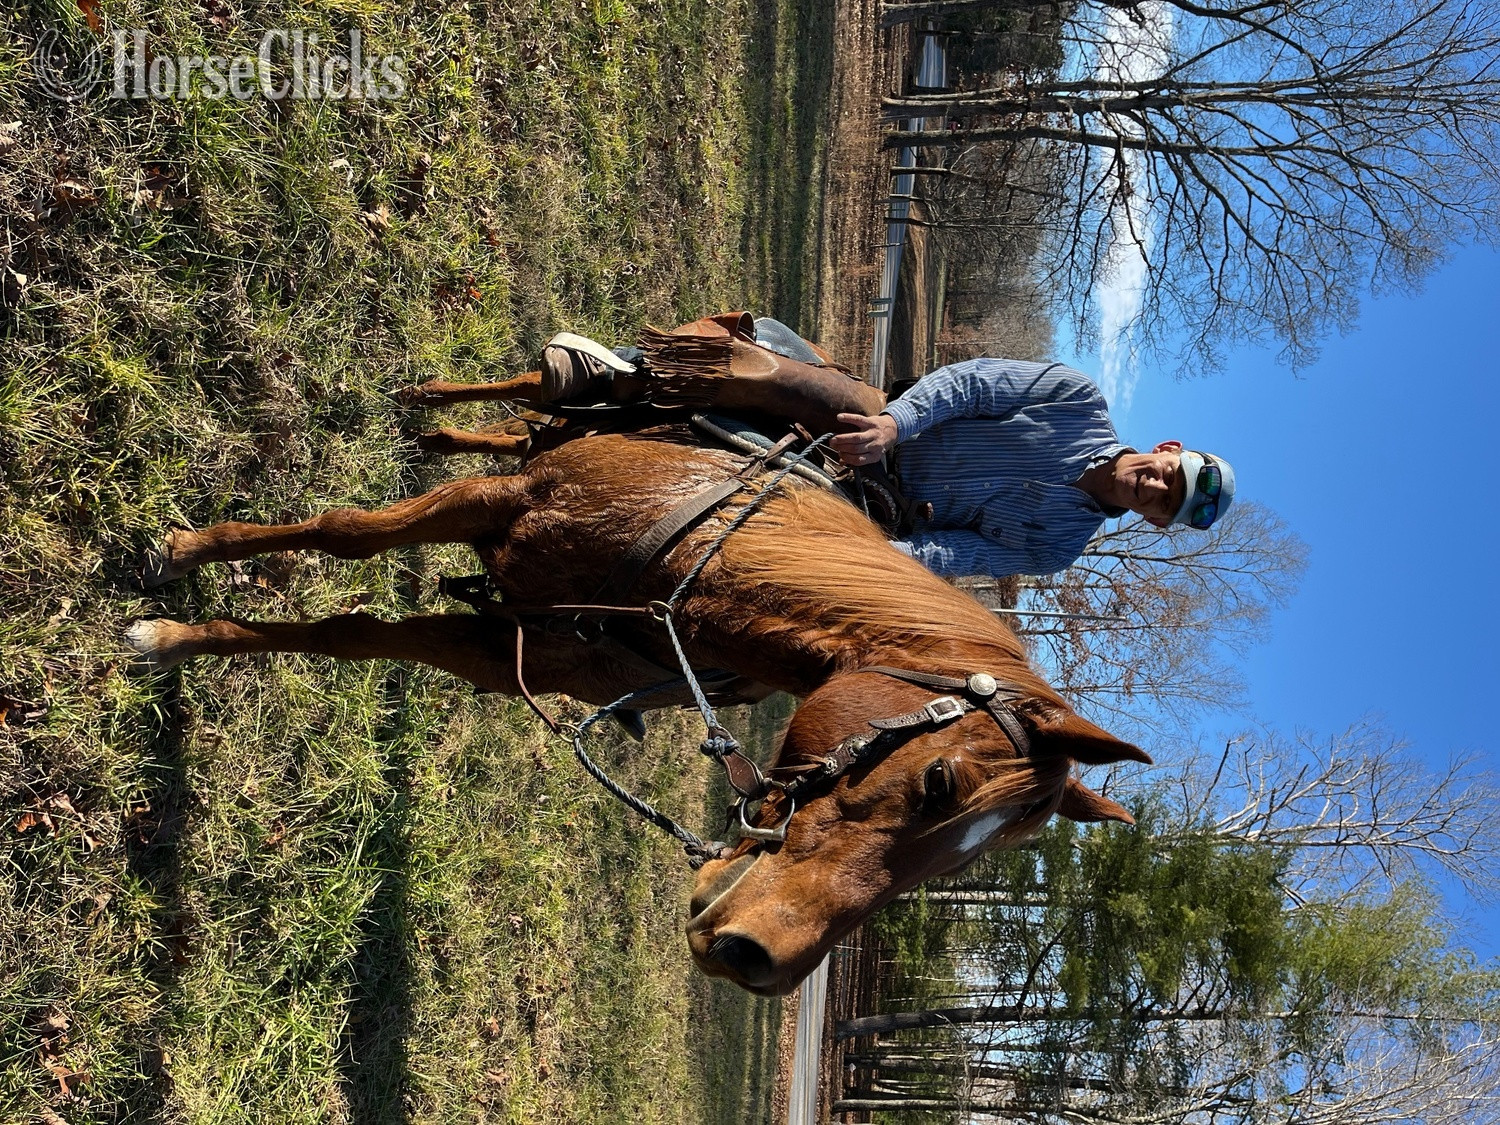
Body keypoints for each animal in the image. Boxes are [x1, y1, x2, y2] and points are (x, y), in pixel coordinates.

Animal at [126, 394, 1150, 997]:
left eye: (959, 868)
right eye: (938, 782)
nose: (761, 960)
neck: (704, 575)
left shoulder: (509, 650)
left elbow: (352, 634)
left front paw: (182, 637)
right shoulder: (503, 502)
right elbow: (343, 533)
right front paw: (180, 564)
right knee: (526, 410)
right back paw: (433, 413)